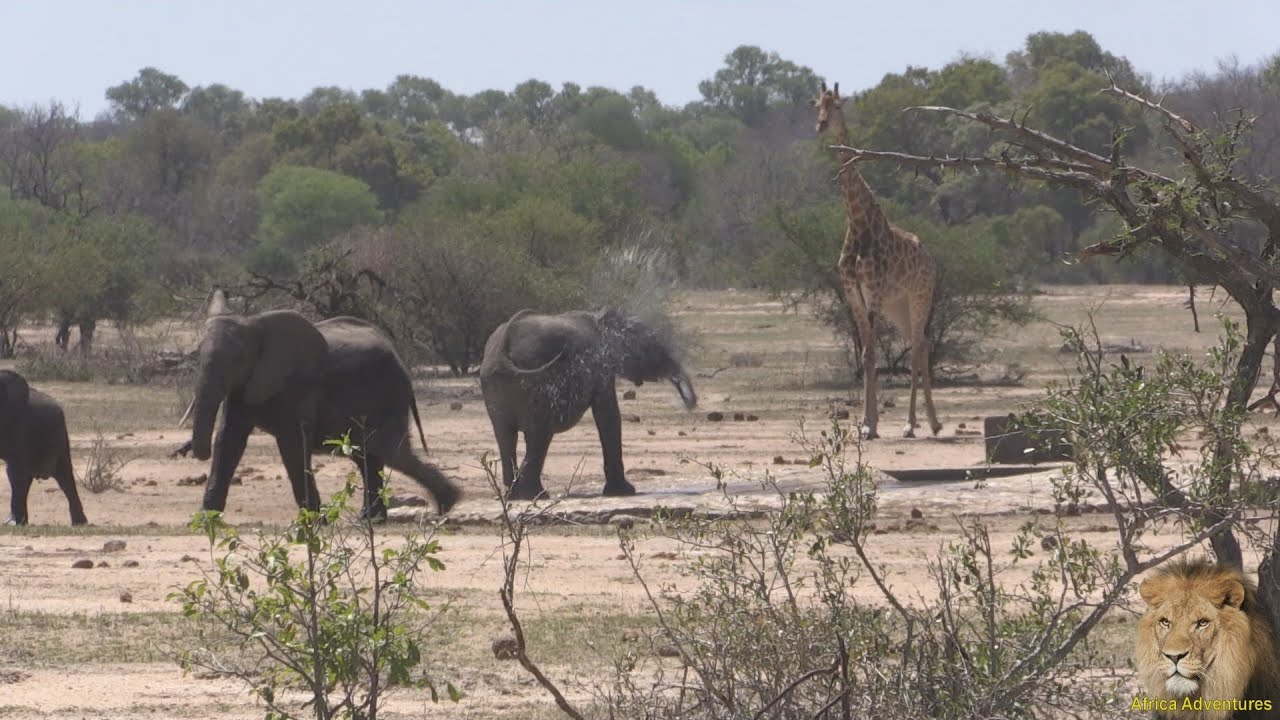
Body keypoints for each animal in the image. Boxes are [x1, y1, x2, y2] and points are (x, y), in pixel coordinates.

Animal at [0, 370, 88, 526]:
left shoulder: (19, 424)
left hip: (59, 434)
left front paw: (14, 523)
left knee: (64, 476)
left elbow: (16, 471)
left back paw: (79, 523)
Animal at [175, 290, 461, 519]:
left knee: (389, 450)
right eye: (198, 356)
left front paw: (312, 521)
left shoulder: (296, 384)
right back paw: (372, 518)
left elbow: (291, 444)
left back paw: (446, 504)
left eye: (238, 359)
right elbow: (228, 440)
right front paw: (205, 521)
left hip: (388, 392)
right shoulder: (244, 387)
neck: (256, 325)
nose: (188, 450)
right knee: (369, 454)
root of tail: (399, 357)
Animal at [479, 308, 697, 500]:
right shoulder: (600, 366)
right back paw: (536, 495)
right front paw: (625, 492)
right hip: (537, 383)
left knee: (506, 437)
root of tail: (503, 348)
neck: (604, 320)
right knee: (539, 434)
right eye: (654, 349)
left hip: (495, 384)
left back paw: (514, 497)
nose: (688, 403)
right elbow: (608, 415)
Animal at [811, 80, 942, 440]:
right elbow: (867, 355)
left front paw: (870, 425)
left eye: (837, 105)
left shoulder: (875, 292)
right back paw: (927, 422)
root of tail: (930, 257)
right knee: (919, 343)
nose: (821, 125)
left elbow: (870, 353)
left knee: (919, 347)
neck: (857, 221)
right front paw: (869, 423)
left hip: (920, 296)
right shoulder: (854, 294)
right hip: (899, 306)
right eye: (815, 104)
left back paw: (919, 423)